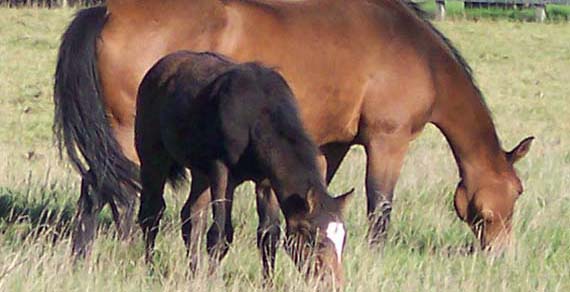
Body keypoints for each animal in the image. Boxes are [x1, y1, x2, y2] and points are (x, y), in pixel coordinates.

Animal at [53, 0, 532, 260]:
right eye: (516, 191)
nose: (502, 253)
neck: (411, 51)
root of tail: (107, 12)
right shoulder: (387, 141)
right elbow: (380, 207)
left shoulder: (332, 144)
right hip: (127, 135)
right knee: (106, 191)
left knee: (103, 189)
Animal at [135, 51, 352, 284]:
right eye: (315, 240)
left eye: (343, 239)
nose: (333, 282)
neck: (256, 114)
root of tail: (159, 67)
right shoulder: (221, 171)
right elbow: (219, 234)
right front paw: (213, 281)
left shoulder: (266, 181)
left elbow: (269, 235)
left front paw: (268, 283)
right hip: (153, 158)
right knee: (151, 213)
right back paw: (150, 268)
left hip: (201, 173)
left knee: (191, 216)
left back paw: (193, 272)